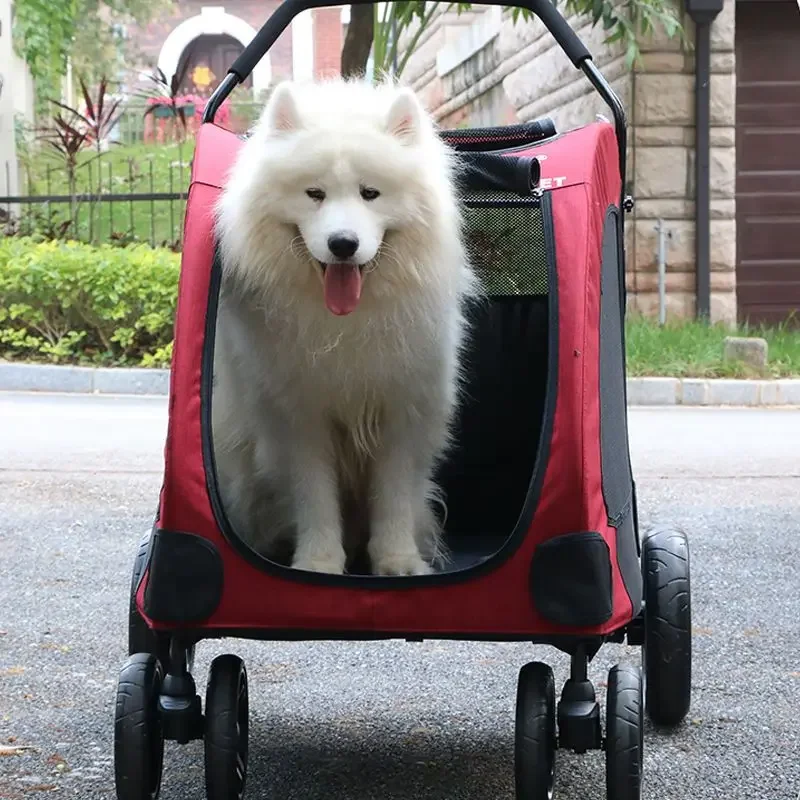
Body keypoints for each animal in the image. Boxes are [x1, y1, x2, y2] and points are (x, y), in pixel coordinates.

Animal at [209, 79, 478, 576]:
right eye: (313, 193)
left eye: (370, 193)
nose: (343, 244)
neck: (346, 326)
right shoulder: (299, 417)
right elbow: (314, 496)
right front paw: (318, 563)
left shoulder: (401, 411)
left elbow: (392, 498)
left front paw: (398, 562)